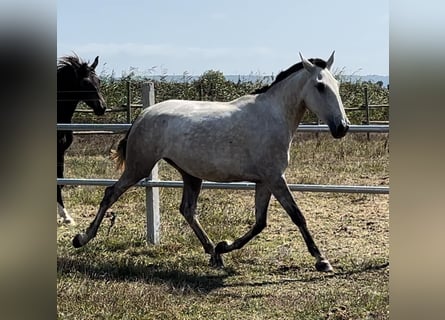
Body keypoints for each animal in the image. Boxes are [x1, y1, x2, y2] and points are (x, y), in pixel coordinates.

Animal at [57, 55, 106, 224]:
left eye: (99, 81)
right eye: (85, 82)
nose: (102, 107)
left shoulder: (60, 152)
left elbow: (60, 179)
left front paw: (65, 216)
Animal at [73, 52, 350, 272]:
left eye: (337, 84)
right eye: (320, 86)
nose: (342, 128)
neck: (273, 116)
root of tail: (142, 115)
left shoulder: (265, 181)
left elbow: (260, 223)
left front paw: (223, 245)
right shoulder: (275, 178)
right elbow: (297, 216)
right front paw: (322, 261)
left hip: (190, 174)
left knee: (187, 209)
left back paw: (213, 253)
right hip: (138, 167)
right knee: (110, 193)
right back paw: (82, 238)